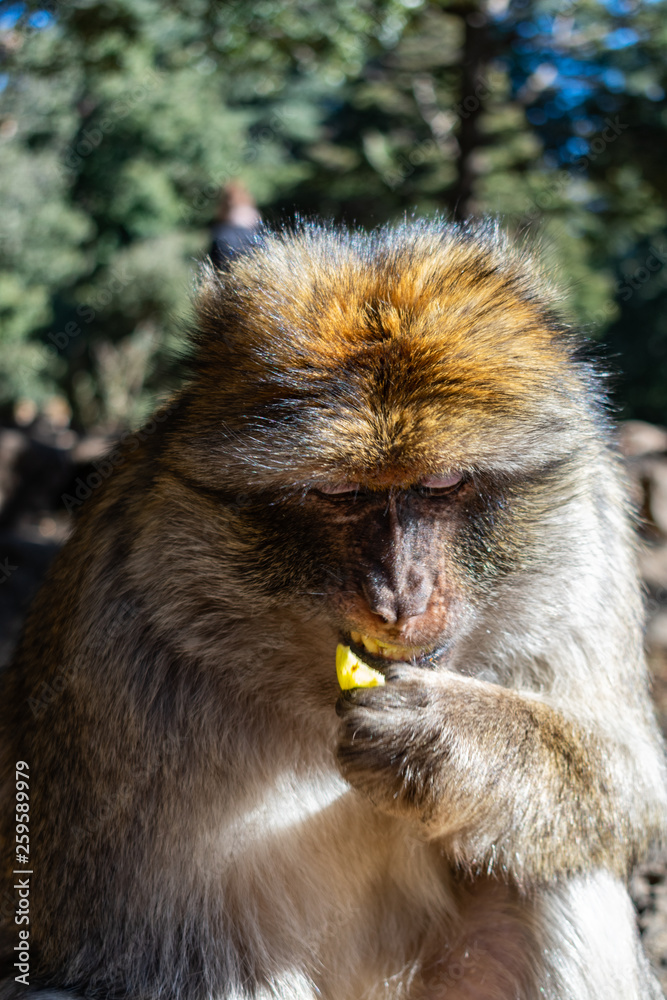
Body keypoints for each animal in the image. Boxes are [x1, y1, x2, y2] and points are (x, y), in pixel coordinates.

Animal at [1, 220, 666, 1000]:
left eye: (442, 482)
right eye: (340, 494)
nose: (400, 595)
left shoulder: (592, 554)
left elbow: (635, 783)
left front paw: (446, 740)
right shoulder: (114, 641)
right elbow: (162, 958)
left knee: (563, 872)